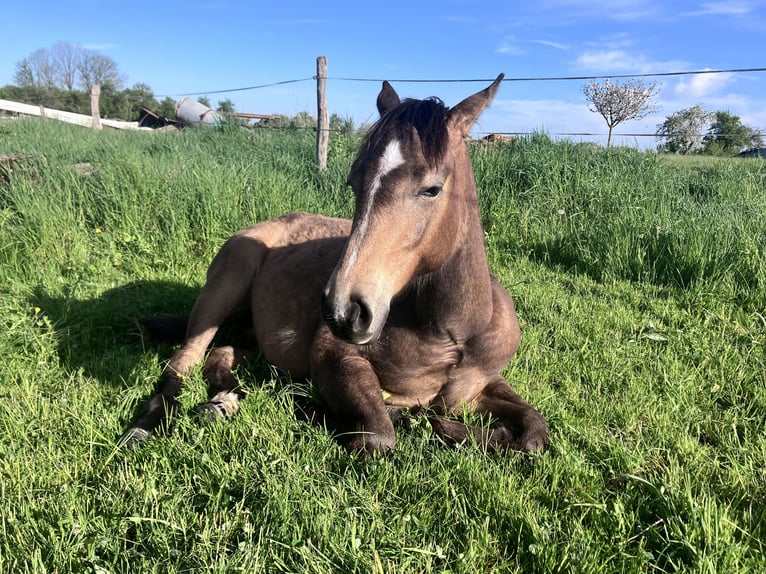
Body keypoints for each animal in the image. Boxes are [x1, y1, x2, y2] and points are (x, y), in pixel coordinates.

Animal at [118, 74, 549, 456]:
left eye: (432, 189)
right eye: (355, 182)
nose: (344, 311)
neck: (448, 333)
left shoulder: (479, 385)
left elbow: (534, 430)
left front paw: (446, 426)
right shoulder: (333, 356)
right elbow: (378, 434)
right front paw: (320, 405)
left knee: (222, 354)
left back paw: (223, 401)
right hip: (224, 286)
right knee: (182, 363)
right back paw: (143, 429)